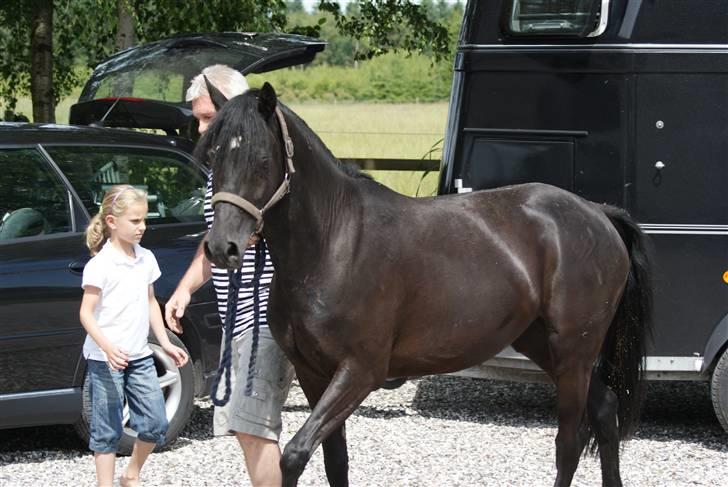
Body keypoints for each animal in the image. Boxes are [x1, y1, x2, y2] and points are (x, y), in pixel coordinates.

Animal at [197, 82, 653, 487]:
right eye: (214, 154)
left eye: (261, 159)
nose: (222, 247)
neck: (333, 244)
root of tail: (597, 213)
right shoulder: (312, 373)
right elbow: (334, 460)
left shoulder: (360, 372)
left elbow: (293, 455)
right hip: (544, 345)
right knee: (604, 409)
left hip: (574, 352)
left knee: (568, 443)